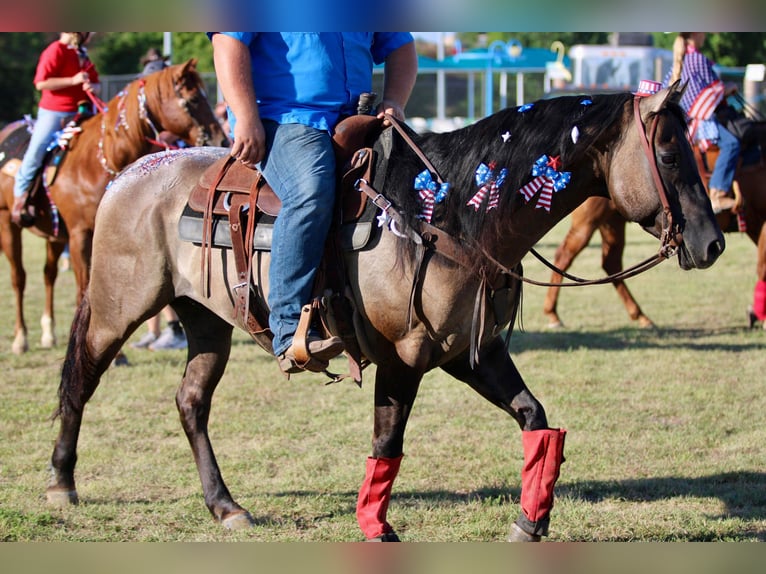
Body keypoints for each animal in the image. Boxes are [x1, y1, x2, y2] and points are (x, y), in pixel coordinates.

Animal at [0, 59, 227, 354]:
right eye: (193, 99)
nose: (222, 139)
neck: (98, 160)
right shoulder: (80, 235)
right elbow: (82, 289)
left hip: (53, 237)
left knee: (49, 275)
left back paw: (48, 332)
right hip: (9, 224)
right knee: (19, 278)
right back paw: (21, 338)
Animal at [47, 83, 724, 541]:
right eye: (669, 154)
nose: (712, 242)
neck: (450, 211)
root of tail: (128, 174)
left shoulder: (472, 353)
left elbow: (534, 417)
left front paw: (530, 523)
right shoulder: (405, 356)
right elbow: (387, 441)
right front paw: (376, 527)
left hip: (206, 321)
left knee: (191, 403)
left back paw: (225, 506)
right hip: (116, 308)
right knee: (81, 379)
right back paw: (61, 483)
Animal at [542, 136, 766, 330]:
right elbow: (762, 267)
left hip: (612, 222)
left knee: (610, 262)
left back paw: (640, 315)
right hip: (589, 221)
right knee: (565, 255)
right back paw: (553, 314)